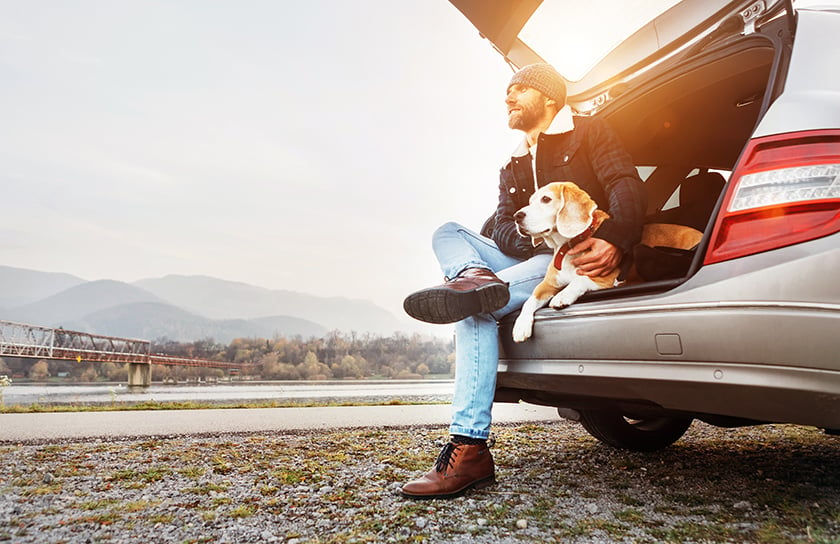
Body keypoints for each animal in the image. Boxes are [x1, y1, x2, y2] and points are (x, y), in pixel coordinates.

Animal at [512, 183, 704, 344]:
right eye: (530, 201)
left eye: (546, 199)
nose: (517, 216)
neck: (567, 247)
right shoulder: (547, 285)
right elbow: (529, 301)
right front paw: (520, 326)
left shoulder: (606, 278)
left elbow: (579, 280)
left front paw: (562, 295)